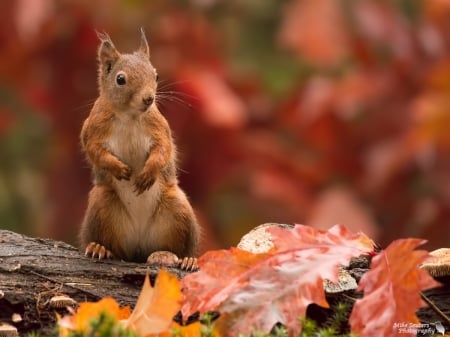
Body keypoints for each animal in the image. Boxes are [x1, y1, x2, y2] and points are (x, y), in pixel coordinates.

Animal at [80, 28, 200, 270]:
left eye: (156, 75)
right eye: (120, 79)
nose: (148, 99)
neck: (129, 115)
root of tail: (138, 245)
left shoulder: (159, 128)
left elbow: (163, 149)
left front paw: (147, 174)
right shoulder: (93, 129)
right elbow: (94, 150)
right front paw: (118, 168)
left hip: (178, 207)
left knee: (181, 247)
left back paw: (182, 258)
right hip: (101, 203)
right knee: (112, 247)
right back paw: (99, 248)